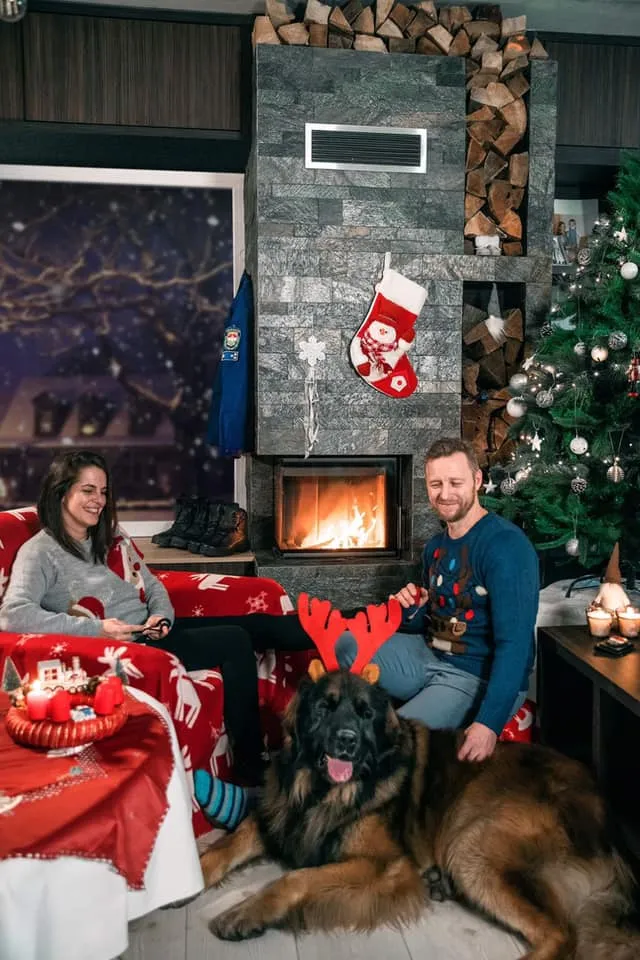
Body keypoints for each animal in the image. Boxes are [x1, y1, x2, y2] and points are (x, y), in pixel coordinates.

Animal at [200, 667, 640, 959]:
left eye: (365, 714)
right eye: (324, 709)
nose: (347, 741)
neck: (325, 793)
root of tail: (608, 815)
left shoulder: (381, 865)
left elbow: (295, 879)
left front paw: (244, 912)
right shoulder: (280, 816)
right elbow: (225, 846)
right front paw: (191, 873)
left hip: (473, 841)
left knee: (562, 935)